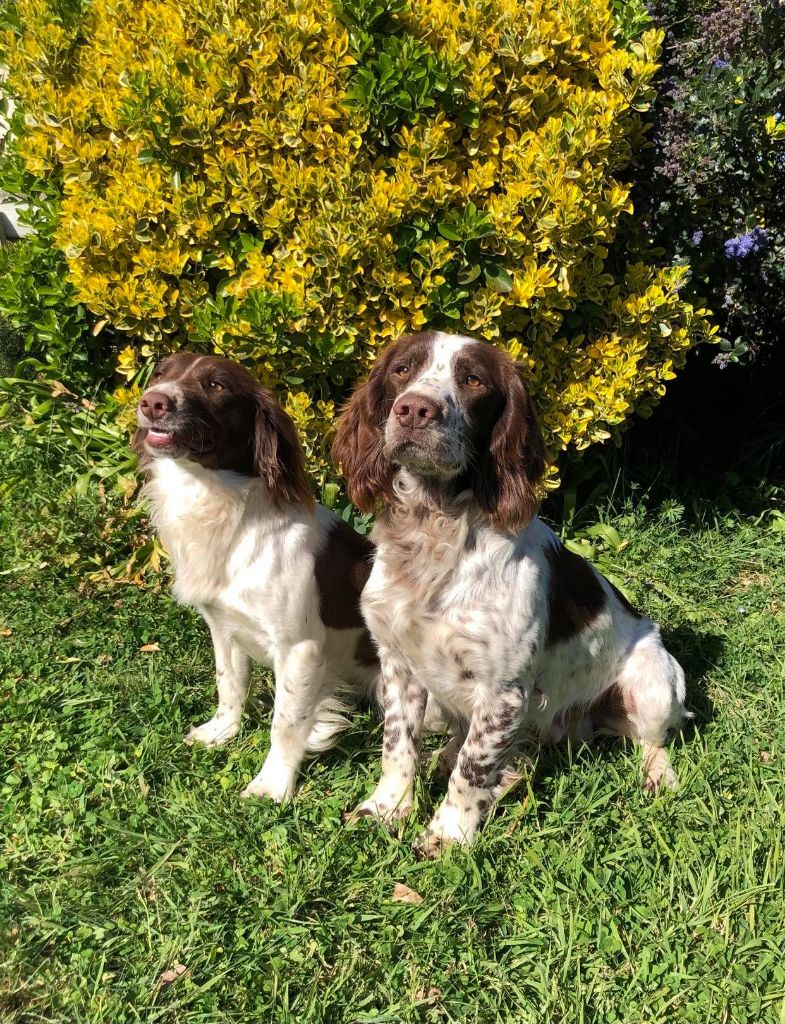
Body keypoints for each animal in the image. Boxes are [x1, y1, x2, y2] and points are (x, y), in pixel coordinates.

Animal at [134, 352, 380, 798]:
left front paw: (273, 784)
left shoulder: (300, 648)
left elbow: (285, 723)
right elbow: (229, 684)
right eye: (160, 373)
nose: (153, 402)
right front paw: (221, 732)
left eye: (217, 386)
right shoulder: (223, 628)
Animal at [331, 333, 687, 856]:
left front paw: (448, 834)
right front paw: (386, 809)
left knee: (651, 741)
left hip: (654, 683)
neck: (435, 531)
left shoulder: (503, 691)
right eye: (401, 370)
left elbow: (473, 769)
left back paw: (659, 777)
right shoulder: (398, 664)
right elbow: (397, 746)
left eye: (473, 380)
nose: (414, 410)